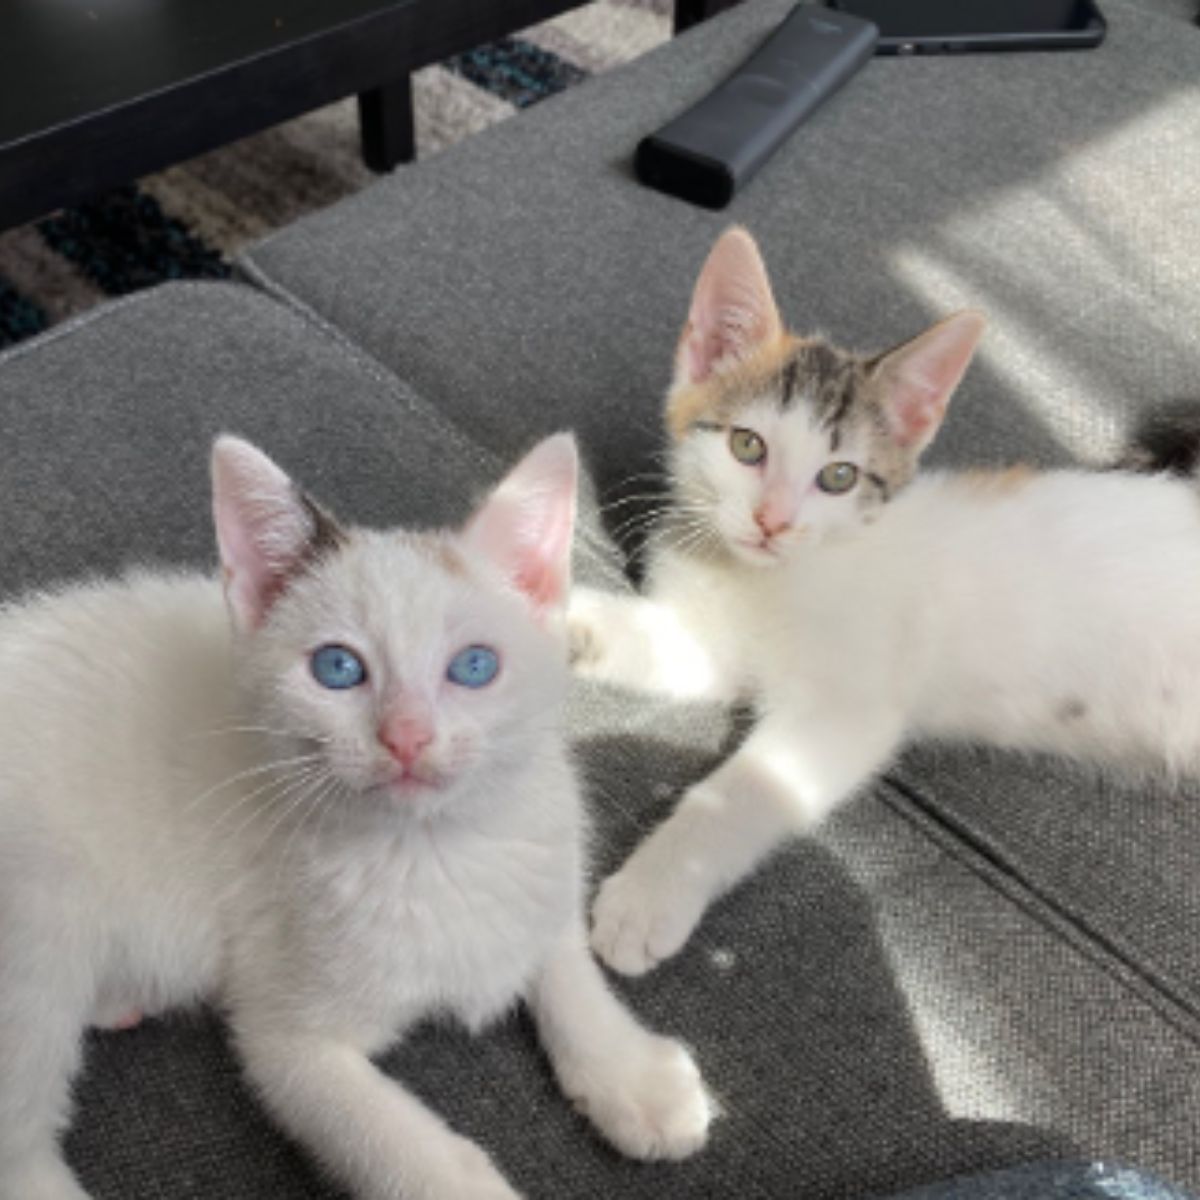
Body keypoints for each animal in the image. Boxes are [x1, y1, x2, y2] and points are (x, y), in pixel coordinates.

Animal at [0, 434, 710, 1200]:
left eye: (475, 666)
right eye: (338, 668)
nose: (406, 737)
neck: (436, 845)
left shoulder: (540, 855)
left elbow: (563, 958)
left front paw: (633, 1076)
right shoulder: (287, 1041)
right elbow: (408, 1151)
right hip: (36, 935)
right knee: (18, 1139)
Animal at [568, 229, 1200, 979]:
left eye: (839, 477)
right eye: (747, 445)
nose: (773, 522)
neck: (763, 576)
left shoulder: (848, 711)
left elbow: (740, 790)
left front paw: (649, 896)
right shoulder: (706, 643)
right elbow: (651, 643)